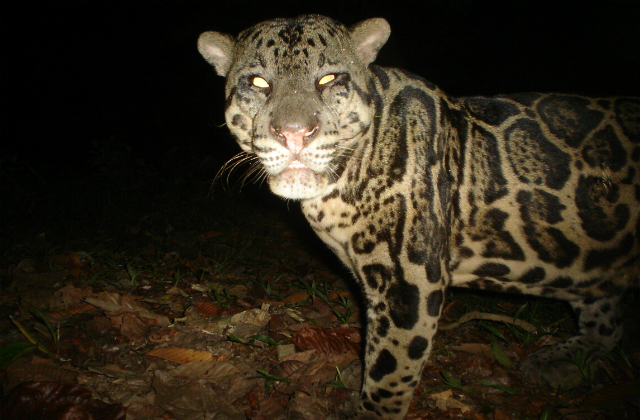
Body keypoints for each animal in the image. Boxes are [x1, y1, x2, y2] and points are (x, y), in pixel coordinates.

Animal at [198, 14, 640, 419]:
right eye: (258, 83)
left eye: (329, 79)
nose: (293, 133)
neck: (339, 188)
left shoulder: (408, 282)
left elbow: (389, 370)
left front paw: (372, 411)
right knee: (607, 320)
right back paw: (561, 362)